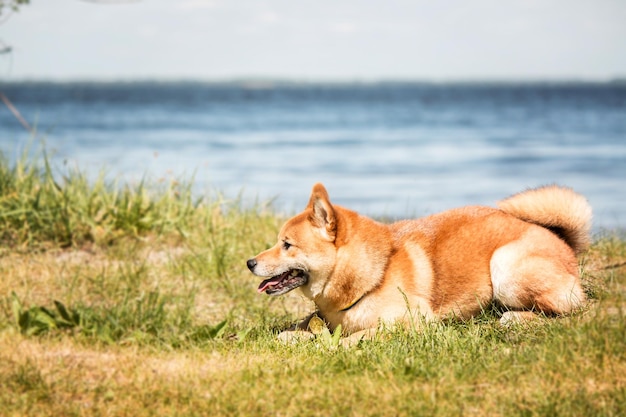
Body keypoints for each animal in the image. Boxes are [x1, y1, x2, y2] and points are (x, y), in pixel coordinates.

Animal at [245, 181, 588, 342]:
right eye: (278, 241)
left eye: (287, 245)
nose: (249, 262)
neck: (373, 275)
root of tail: (560, 240)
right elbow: (302, 330)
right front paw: (293, 335)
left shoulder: (415, 321)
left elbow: (360, 334)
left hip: (505, 267)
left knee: (571, 312)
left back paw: (516, 319)